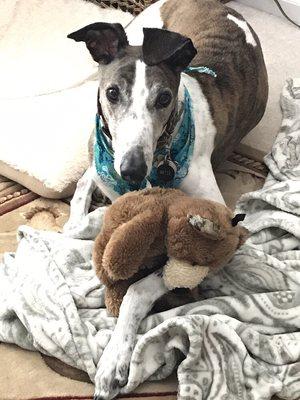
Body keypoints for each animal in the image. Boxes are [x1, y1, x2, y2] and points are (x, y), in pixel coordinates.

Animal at [65, 1, 268, 398]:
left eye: (164, 99)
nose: (131, 170)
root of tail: (229, 9)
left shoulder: (225, 236)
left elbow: (137, 287)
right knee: (85, 180)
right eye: (113, 93)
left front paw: (114, 360)